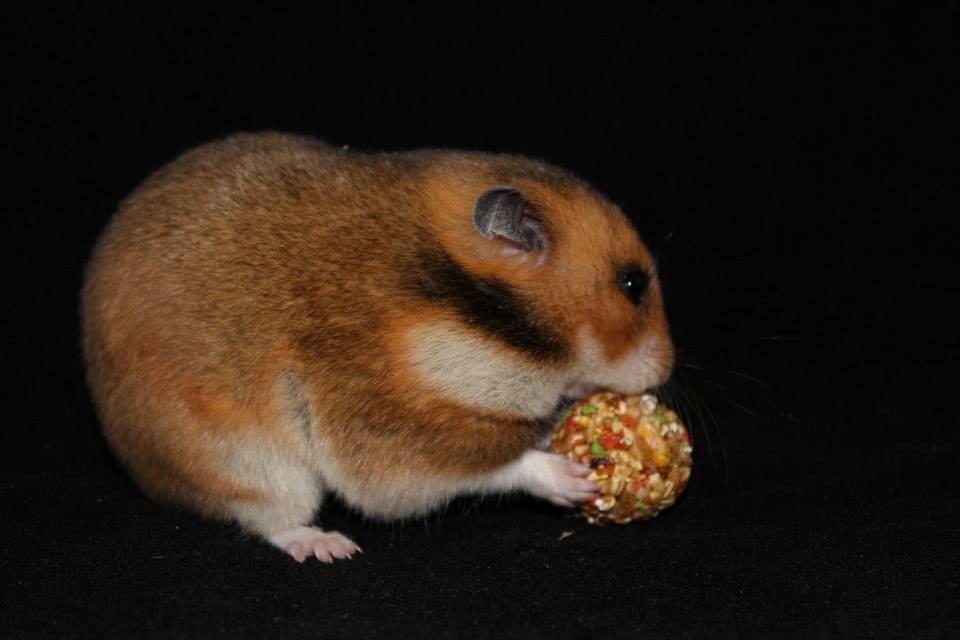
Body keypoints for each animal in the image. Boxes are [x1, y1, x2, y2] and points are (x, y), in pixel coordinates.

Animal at [81, 132, 674, 563]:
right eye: (631, 284)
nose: (666, 369)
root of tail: (138, 469)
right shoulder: (380, 429)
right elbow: (487, 462)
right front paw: (572, 478)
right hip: (252, 466)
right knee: (271, 520)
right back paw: (330, 547)